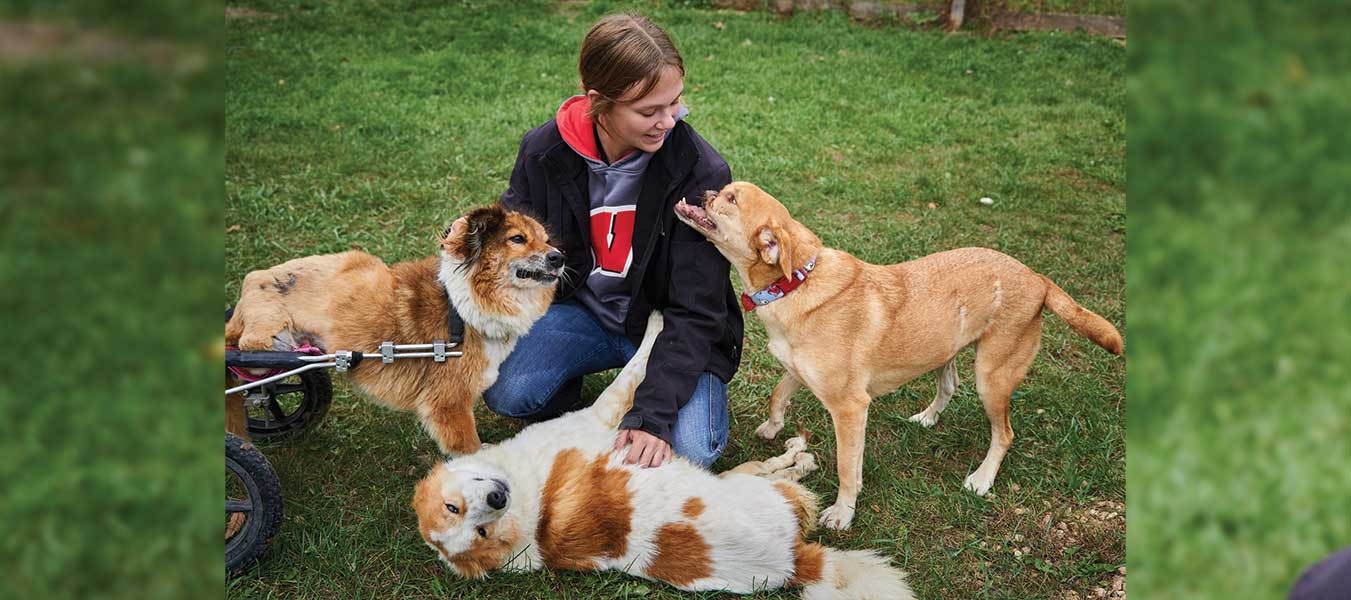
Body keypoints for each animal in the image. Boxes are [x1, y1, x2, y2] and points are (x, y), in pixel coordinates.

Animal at [225, 206, 559, 454]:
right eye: (517, 238)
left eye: (545, 239)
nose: (560, 257)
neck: (463, 306)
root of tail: (247, 289)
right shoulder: (449, 404)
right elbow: (469, 450)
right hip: (267, 343)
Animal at [410, 313, 918, 600]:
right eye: (476, 528)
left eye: (459, 511)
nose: (496, 500)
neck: (531, 504)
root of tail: (796, 562)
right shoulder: (605, 415)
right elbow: (638, 363)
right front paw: (657, 320)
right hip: (741, 486)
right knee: (772, 472)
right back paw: (799, 457)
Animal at [670, 182, 1124, 529]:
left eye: (730, 199)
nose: (706, 190)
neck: (794, 282)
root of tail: (1039, 278)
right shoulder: (799, 371)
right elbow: (778, 394)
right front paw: (771, 427)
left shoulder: (851, 408)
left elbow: (847, 468)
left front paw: (842, 513)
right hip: (946, 351)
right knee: (949, 385)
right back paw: (928, 417)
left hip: (992, 377)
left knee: (1005, 434)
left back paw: (981, 478)